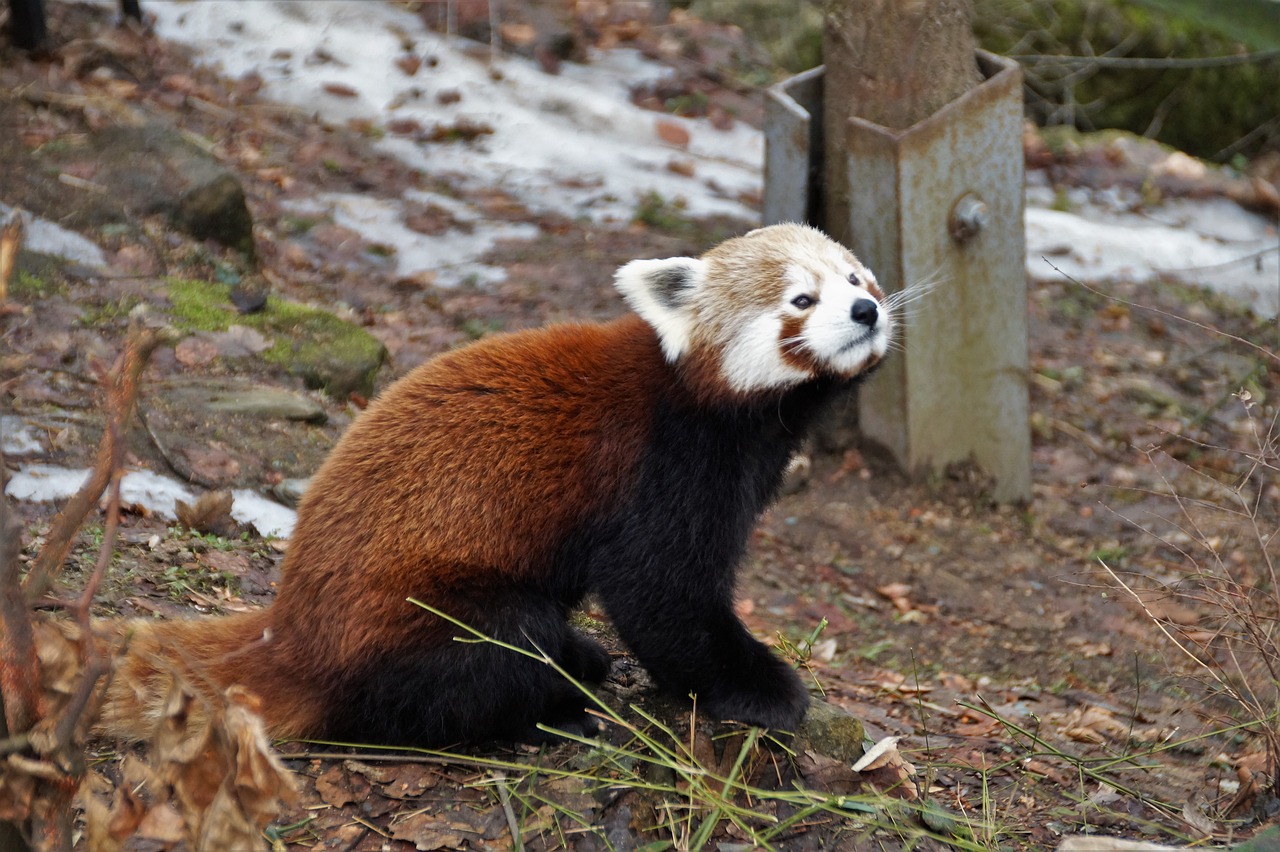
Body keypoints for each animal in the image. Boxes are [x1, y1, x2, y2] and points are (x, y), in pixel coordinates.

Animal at [97, 223, 890, 741]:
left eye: (856, 278)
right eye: (800, 300)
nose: (867, 310)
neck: (728, 406)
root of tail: (289, 630)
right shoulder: (664, 463)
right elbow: (661, 593)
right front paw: (761, 689)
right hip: (429, 613)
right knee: (487, 656)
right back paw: (553, 704)